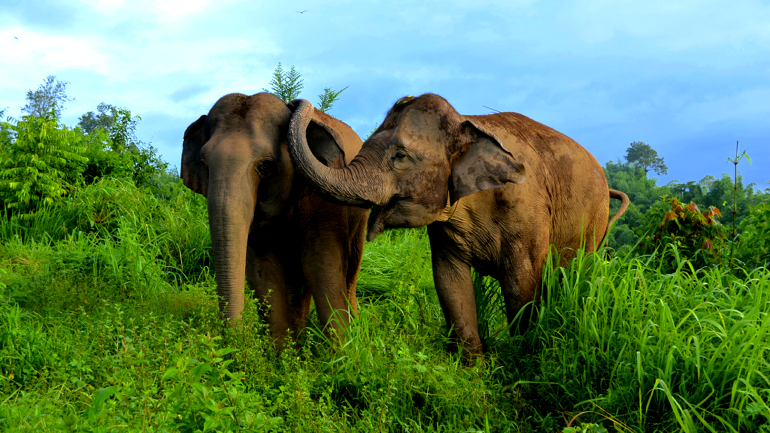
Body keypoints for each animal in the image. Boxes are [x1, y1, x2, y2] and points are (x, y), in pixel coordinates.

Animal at [183, 92, 368, 344]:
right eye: (204, 164)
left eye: (265, 166)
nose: (235, 342)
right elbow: (264, 273)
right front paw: (283, 352)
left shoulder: (325, 203)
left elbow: (322, 265)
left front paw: (343, 350)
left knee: (348, 272)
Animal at [284, 93, 628, 356]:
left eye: (400, 156)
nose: (296, 102)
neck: (468, 122)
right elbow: (449, 281)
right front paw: (474, 368)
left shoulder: (528, 214)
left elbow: (521, 285)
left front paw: (522, 358)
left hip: (593, 221)